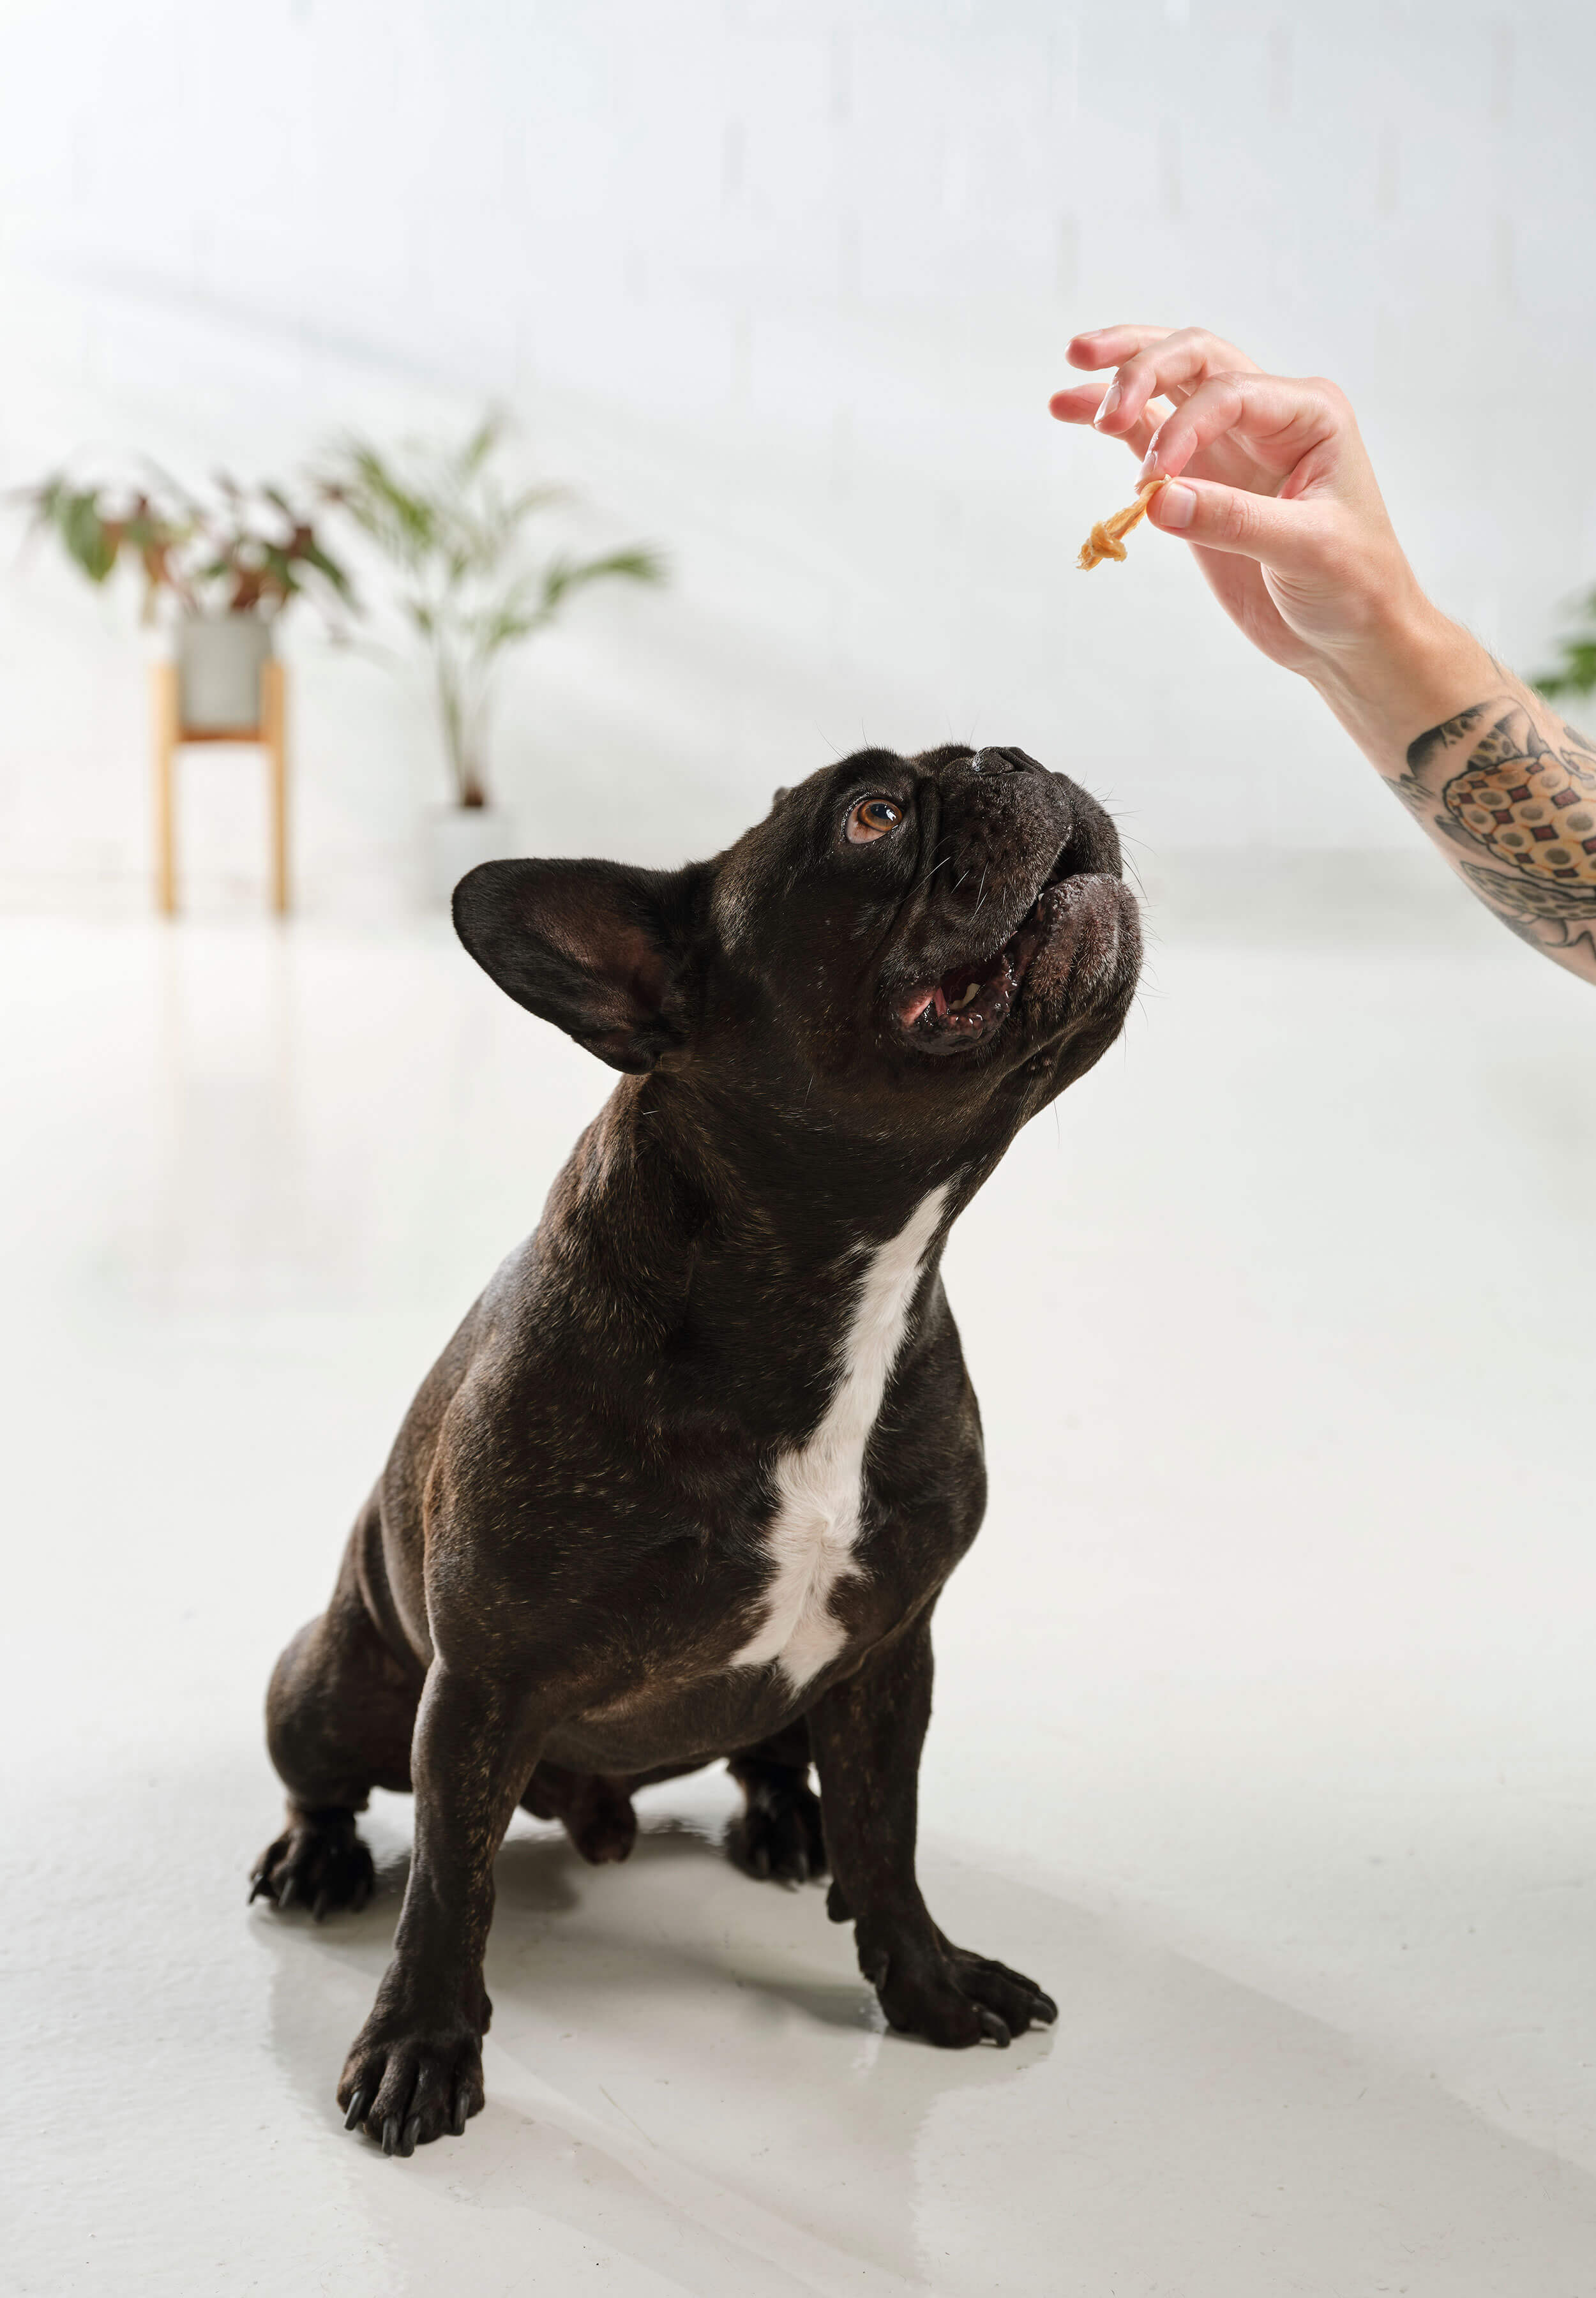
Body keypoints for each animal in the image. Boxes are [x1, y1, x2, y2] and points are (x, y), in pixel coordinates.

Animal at [256, 740, 1145, 2151]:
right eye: (872, 816)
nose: (1013, 756)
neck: (841, 1281)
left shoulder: (888, 1653)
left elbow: (889, 1837)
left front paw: (929, 1988)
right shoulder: (481, 1685)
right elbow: (450, 1885)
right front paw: (417, 2047)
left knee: (783, 1768)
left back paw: (788, 1827)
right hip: (337, 1684)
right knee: (328, 1778)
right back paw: (316, 1858)